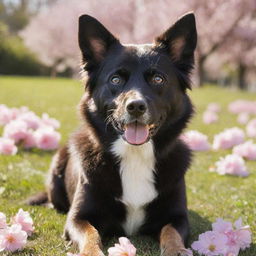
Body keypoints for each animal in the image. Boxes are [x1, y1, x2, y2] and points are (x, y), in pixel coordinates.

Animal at [29, 12, 197, 256]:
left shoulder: (177, 217)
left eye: (158, 79)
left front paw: (176, 251)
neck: (135, 155)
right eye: (116, 79)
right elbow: (91, 234)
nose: (135, 106)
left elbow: (171, 234)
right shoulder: (77, 218)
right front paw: (91, 252)